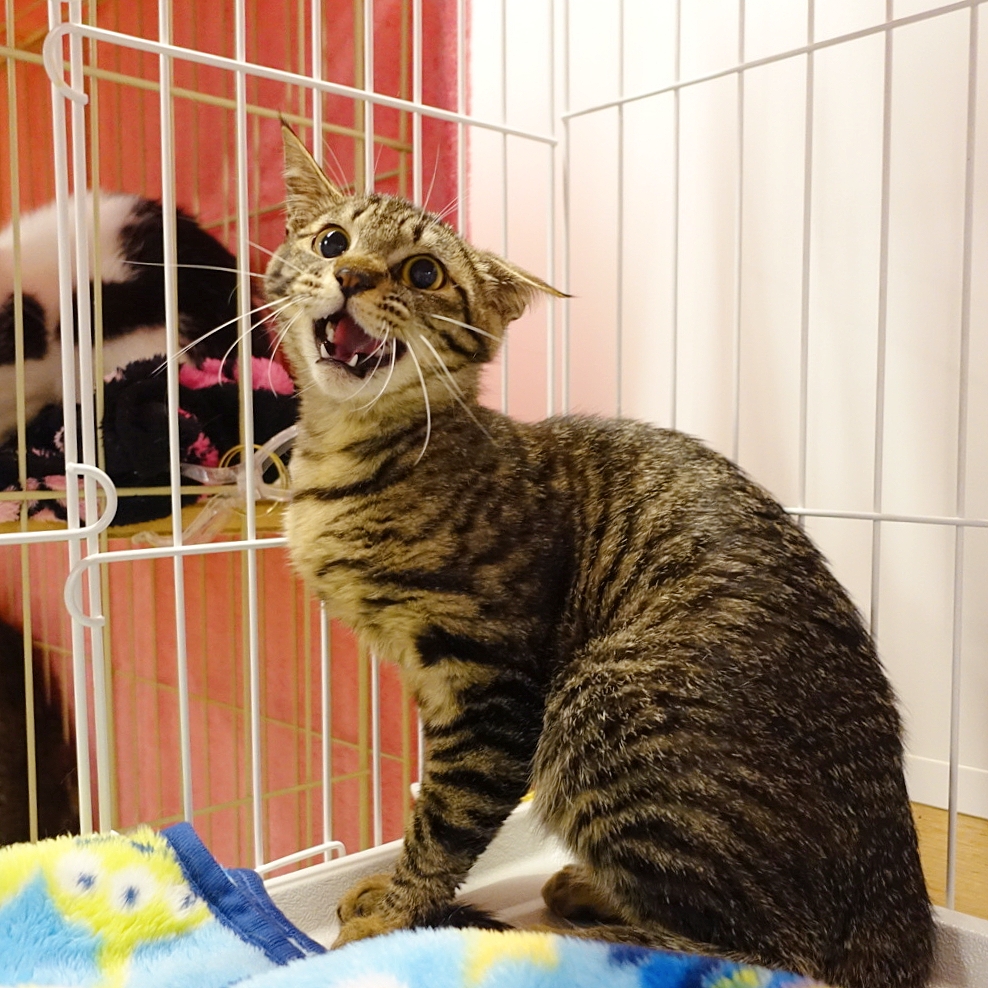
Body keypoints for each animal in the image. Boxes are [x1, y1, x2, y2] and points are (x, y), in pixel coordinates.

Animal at [263, 124, 935, 988]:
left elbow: (445, 816)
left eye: (423, 273)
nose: (350, 276)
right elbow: (426, 801)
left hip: (600, 705)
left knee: (761, 954)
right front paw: (391, 895)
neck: (351, 460)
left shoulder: (489, 685)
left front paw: (395, 915)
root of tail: (900, 910)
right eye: (331, 241)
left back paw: (578, 929)